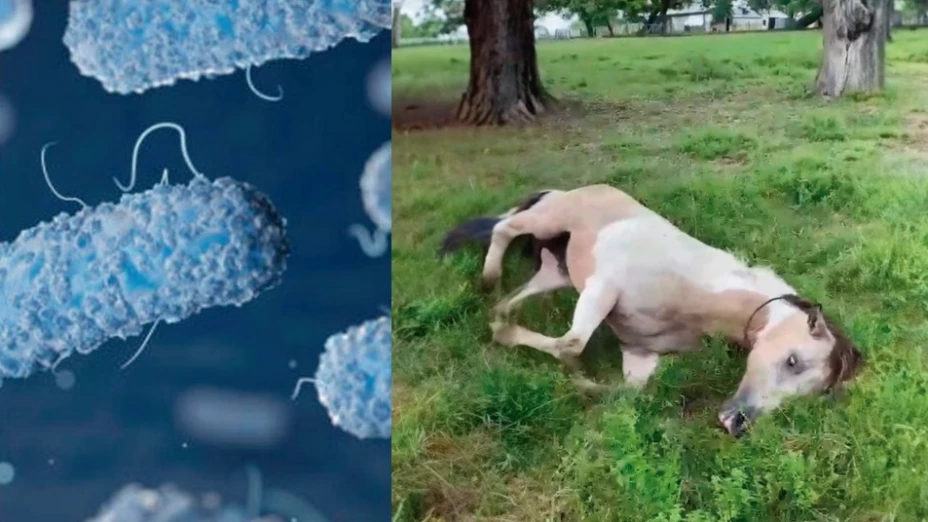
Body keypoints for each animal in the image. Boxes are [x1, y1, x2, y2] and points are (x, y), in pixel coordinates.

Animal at [440, 184, 863, 437]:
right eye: (793, 360)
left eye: (814, 394)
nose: (735, 423)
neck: (694, 299)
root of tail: (567, 190)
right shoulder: (603, 288)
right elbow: (572, 343)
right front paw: (514, 340)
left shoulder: (640, 353)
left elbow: (625, 392)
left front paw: (579, 382)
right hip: (547, 220)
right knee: (504, 228)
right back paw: (489, 281)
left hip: (557, 270)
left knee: (523, 282)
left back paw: (496, 310)